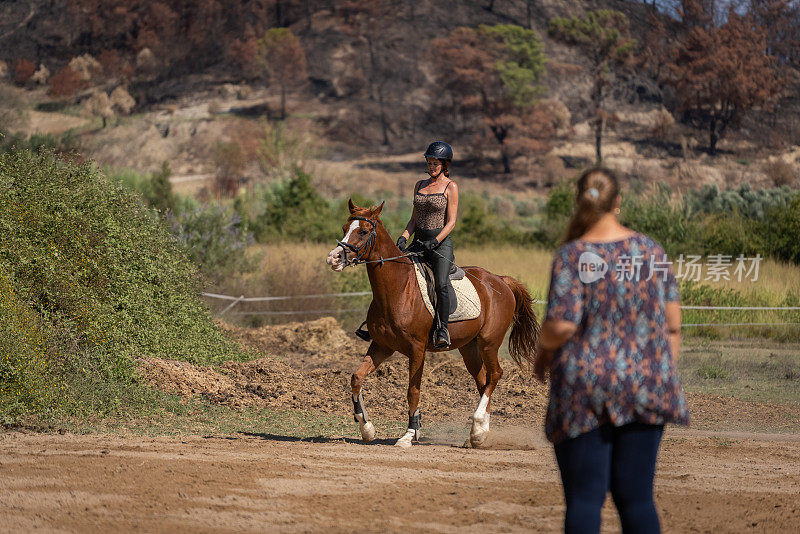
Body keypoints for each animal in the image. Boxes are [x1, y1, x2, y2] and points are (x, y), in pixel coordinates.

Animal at [328, 201, 540, 448]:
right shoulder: (382, 346)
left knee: (495, 374)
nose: (334, 258)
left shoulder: (417, 350)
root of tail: (500, 280)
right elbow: (356, 378)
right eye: (344, 228)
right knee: (483, 381)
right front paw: (367, 428)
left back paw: (478, 427)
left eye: (362, 231)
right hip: (469, 347)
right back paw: (478, 434)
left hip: (489, 342)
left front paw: (409, 434)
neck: (398, 288)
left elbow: (413, 391)